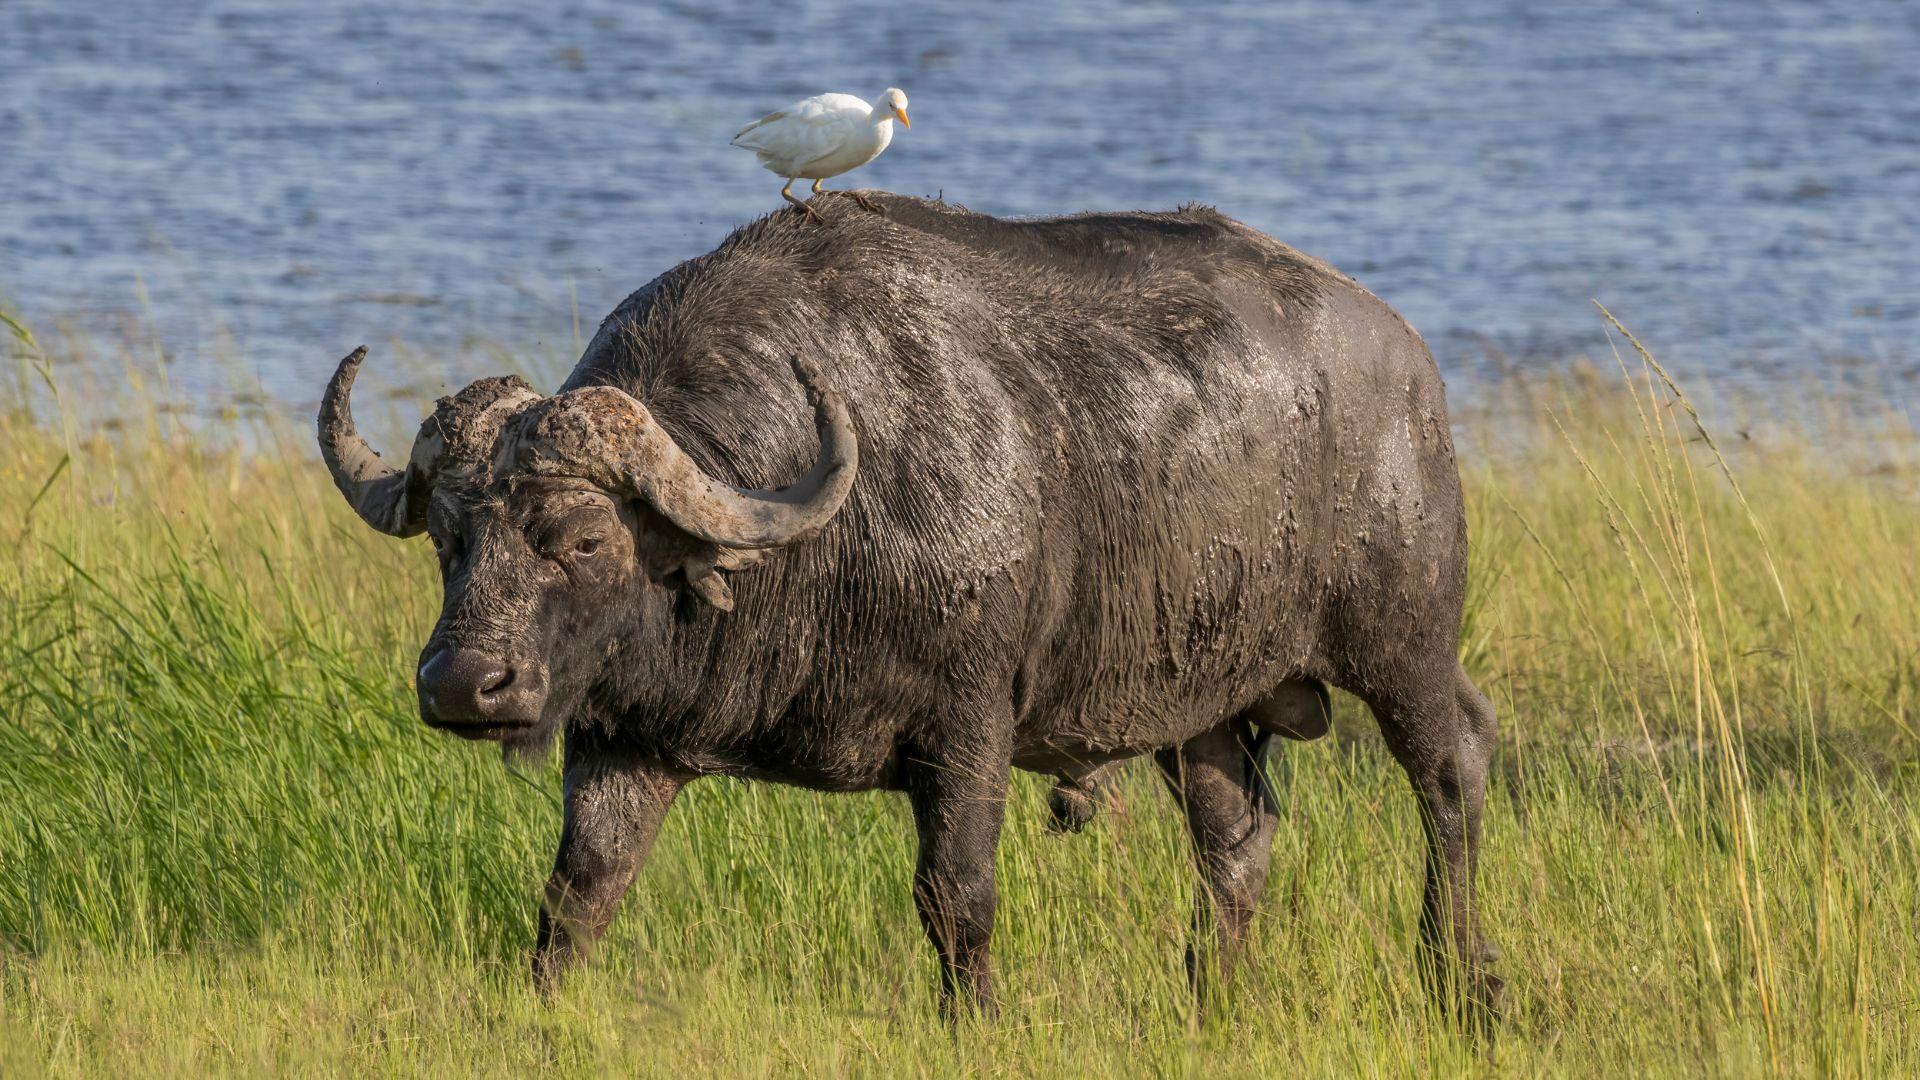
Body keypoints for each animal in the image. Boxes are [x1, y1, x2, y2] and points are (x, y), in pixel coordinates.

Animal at [318, 195, 1497, 1014]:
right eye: (452, 541)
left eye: (583, 539)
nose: (463, 685)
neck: (814, 550)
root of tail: (1405, 358)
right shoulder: (624, 738)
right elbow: (579, 892)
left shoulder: (969, 729)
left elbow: (955, 896)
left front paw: (974, 1019)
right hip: (1197, 705)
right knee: (1237, 840)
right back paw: (1207, 999)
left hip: (1404, 642)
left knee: (1454, 773)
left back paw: (1463, 980)